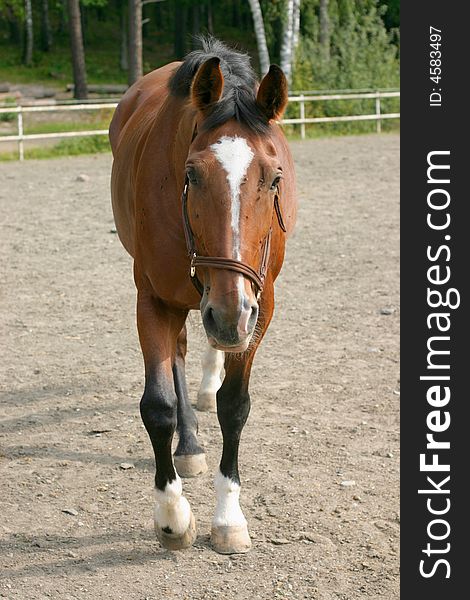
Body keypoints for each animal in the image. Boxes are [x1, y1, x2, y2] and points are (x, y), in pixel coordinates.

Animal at [108, 36, 296, 552]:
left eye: (274, 178)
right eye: (192, 175)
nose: (229, 316)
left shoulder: (260, 305)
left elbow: (235, 405)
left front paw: (229, 518)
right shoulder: (153, 299)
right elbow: (158, 405)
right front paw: (172, 516)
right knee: (180, 353)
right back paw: (190, 443)